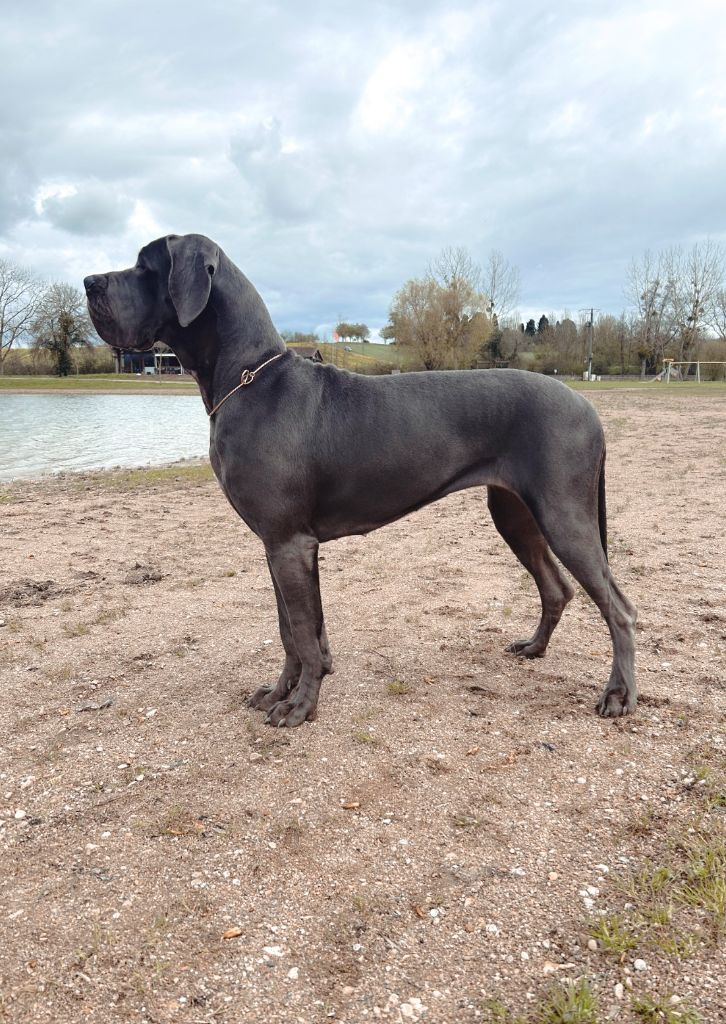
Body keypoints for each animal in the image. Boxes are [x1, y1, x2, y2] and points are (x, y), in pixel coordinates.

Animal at [84, 234, 638, 729]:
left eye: (146, 266)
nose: (89, 281)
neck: (249, 379)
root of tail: (587, 405)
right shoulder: (276, 543)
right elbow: (293, 629)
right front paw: (281, 692)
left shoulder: (288, 541)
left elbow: (301, 631)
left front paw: (300, 707)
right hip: (514, 513)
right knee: (556, 587)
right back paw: (534, 648)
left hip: (564, 514)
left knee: (619, 608)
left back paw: (618, 695)